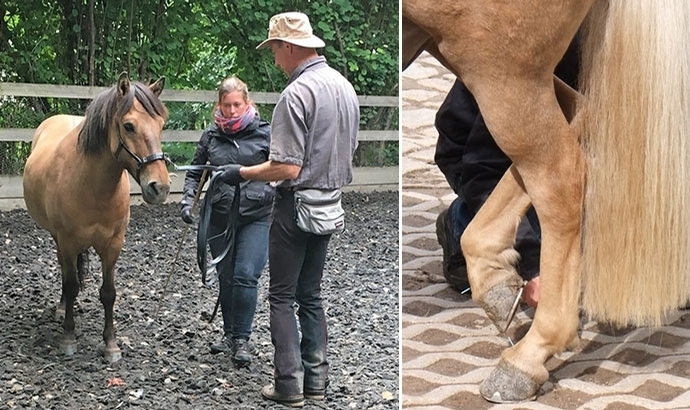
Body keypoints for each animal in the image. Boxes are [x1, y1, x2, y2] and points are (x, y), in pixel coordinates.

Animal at [23, 73, 169, 362]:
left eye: (161, 125)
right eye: (129, 126)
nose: (160, 187)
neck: (91, 185)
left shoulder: (113, 246)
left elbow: (108, 293)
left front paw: (111, 344)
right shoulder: (68, 242)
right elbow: (70, 285)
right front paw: (68, 338)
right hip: (58, 238)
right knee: (65, 271)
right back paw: (62, 308)